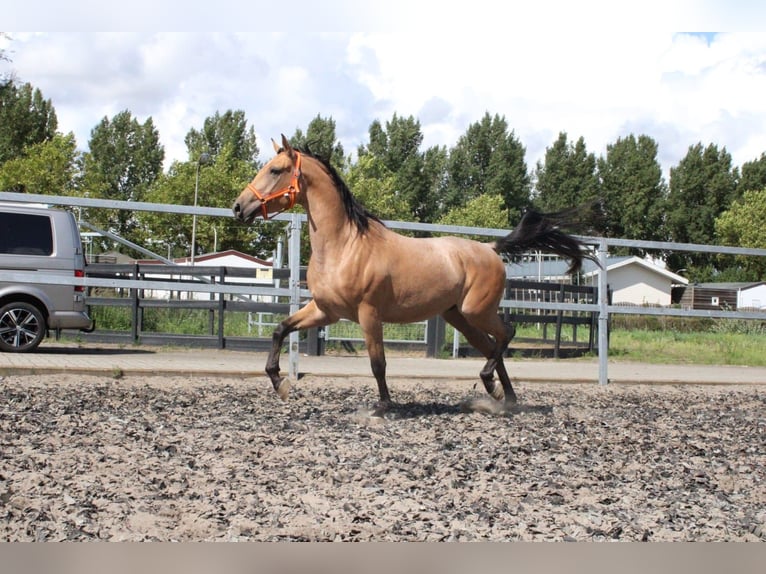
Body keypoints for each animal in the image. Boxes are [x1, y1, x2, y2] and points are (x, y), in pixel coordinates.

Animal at [234, 136, 600, 418]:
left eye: (275, 170)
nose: (239, 207)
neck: (345, 245)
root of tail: (490, 249)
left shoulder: (368, 314)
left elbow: (378, 363)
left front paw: (383, 406)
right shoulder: (325, 310)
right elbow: (281, 329)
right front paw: (280, 384)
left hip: (476, 311)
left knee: (506, 334)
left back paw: (493, 388)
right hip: (458, 317)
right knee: (491, 346)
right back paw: (501, 397)